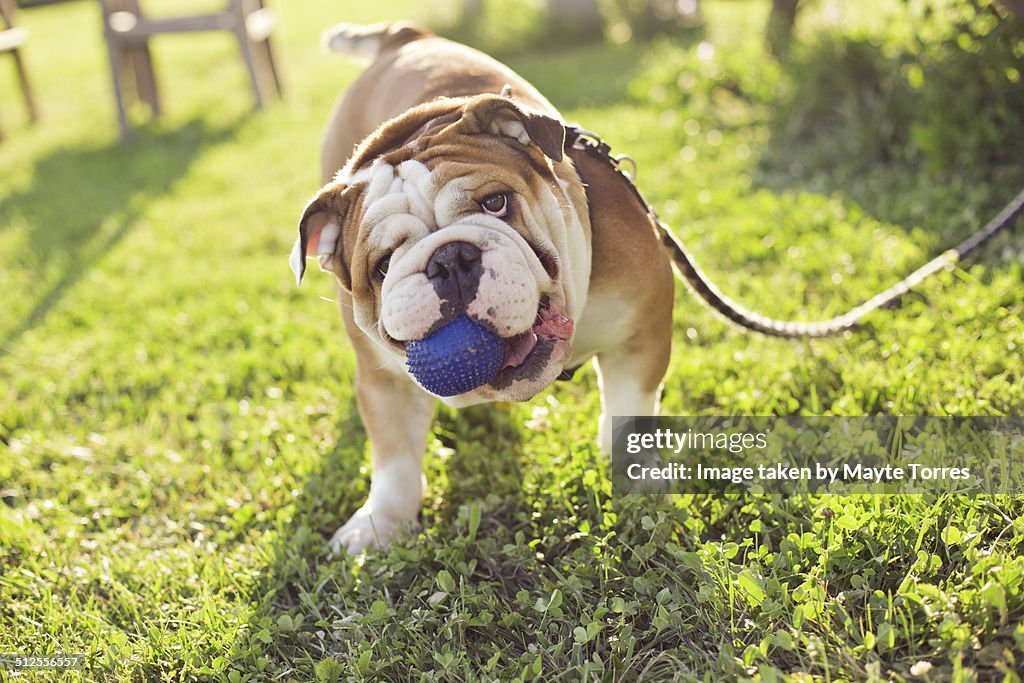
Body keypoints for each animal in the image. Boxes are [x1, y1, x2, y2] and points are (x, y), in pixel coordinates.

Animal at [290, 22, 671, 557]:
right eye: (383, 266)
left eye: (496, 203)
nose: (448, 259)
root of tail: (405, 36)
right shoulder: (385, 382)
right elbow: (395, 457)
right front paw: (379, 525)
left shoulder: (640, 332)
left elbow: (628, 415)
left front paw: (634, 481)